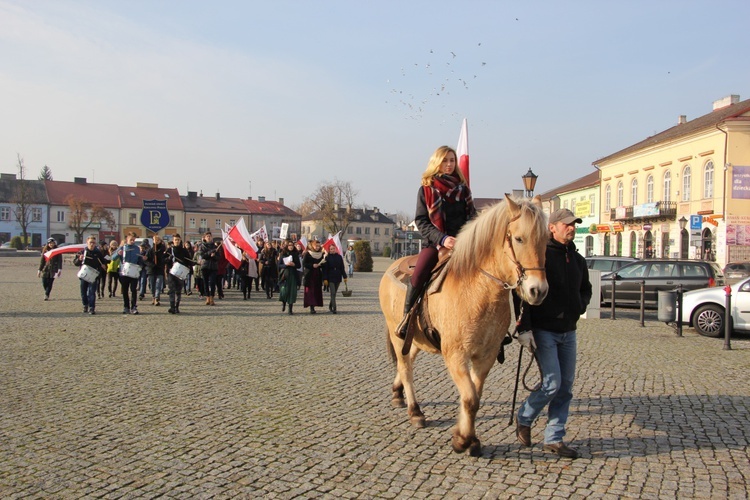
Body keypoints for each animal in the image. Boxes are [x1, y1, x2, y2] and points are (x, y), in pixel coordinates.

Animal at [378, 194, 548, 458]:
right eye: (519, 238)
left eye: (546, 241)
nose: (537, 290)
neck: (477, 290)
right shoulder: (456, 355)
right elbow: (469, 398)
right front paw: (463, 440)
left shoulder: (486, 356)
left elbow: (475, 396)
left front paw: (468, 437)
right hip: (398, 334)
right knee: (406, 368)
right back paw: (415, 411)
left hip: (415, 338)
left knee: (407, 361)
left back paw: (398, 393)